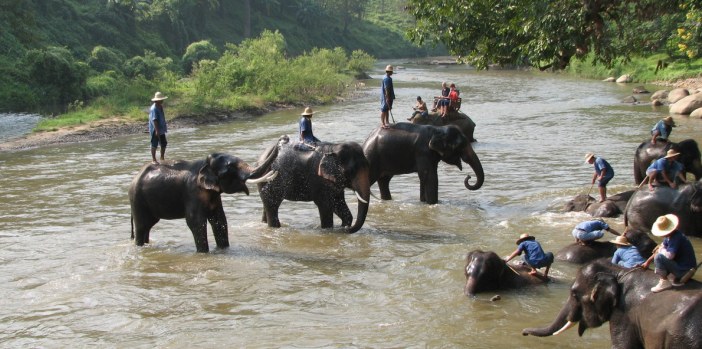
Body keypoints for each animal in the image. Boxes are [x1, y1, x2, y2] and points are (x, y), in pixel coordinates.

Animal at [131, 148, 280, 251]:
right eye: (229, 168)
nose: (283, 139)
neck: (205, 164)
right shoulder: (192, 193)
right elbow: (196, 222)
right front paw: (203, 253)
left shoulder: (214, 196)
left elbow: (219, 220)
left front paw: (224, 250)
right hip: (137, 200)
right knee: (142, 226)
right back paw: (139, 247)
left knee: (148, 225)